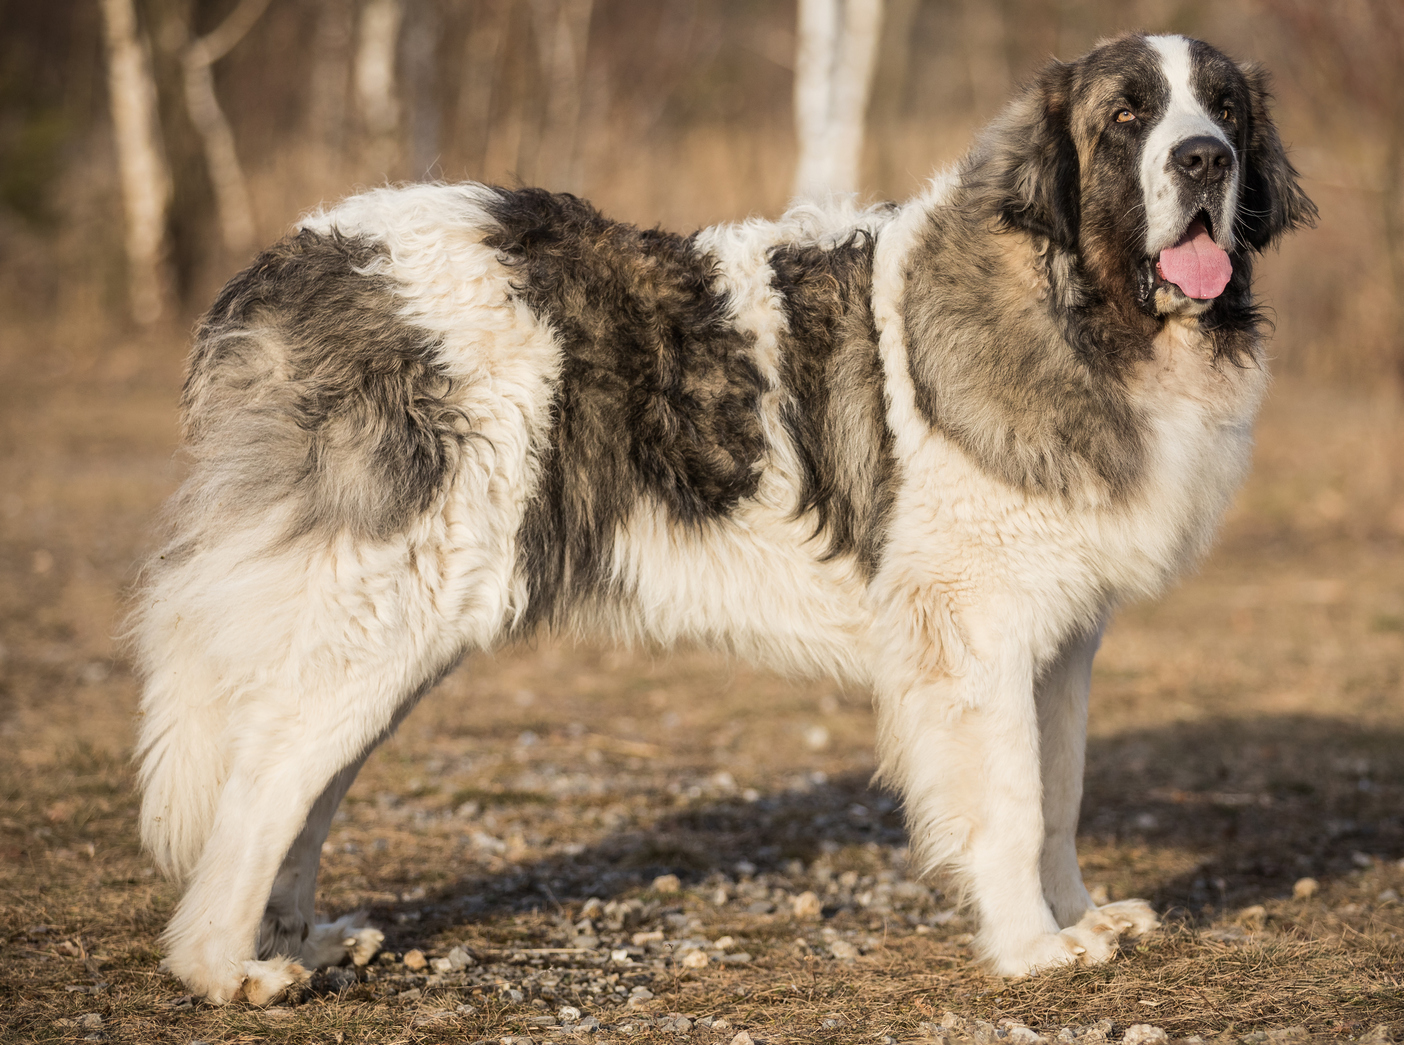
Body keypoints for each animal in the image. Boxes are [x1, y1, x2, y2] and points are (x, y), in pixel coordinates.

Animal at [131, 32, 1314, 1005]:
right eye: (1128, 117)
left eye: (1223, 109)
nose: (1203, 161)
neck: (1084, 309)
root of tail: (294, 263)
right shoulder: (975, 629)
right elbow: (1015, 796)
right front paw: (1031, 948)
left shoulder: (1062, 635)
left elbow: (1060, 787)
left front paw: (1080, 916)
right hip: (389, 598)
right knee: (266, 774)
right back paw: (224, 966)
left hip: (399, 622)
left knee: (302, 779)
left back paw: (297, 938)